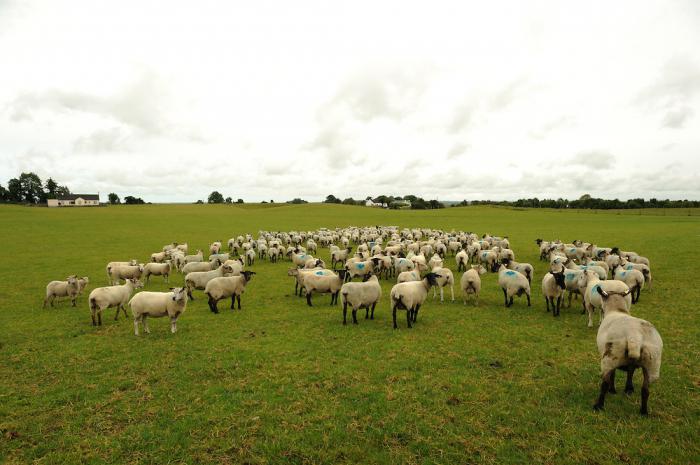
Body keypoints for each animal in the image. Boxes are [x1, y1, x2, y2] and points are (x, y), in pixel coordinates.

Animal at [592, 286, 660, 414]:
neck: (617, 310)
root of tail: (635, 336)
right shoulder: (631, 363)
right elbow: (630, 372)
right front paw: (629, 389)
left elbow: (613, 375)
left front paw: (613, 390)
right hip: (652, 365)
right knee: (645, 389)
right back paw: (644, 412)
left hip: (610, 356)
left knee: (604, 383)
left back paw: (599, 406)